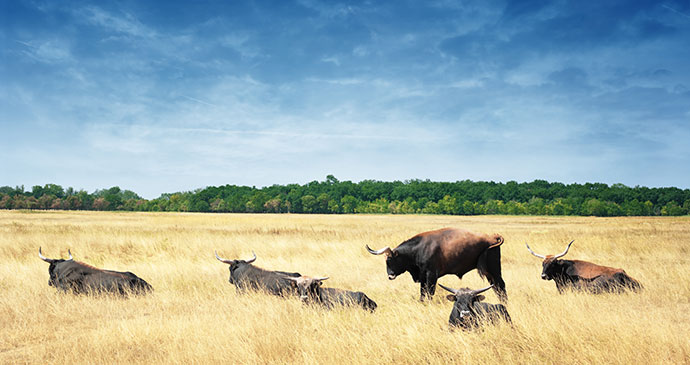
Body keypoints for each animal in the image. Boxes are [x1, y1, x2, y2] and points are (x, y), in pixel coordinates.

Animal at [366, 228, 506, 302]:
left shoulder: (432, 275)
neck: (418, 249)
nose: (390, 276)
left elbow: (430, 293)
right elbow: (423, 293)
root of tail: (492, 237)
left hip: (494, 270)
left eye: (390, 259)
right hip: (490, 273)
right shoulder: (423, 277)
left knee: (500, 285)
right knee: (496, 287)